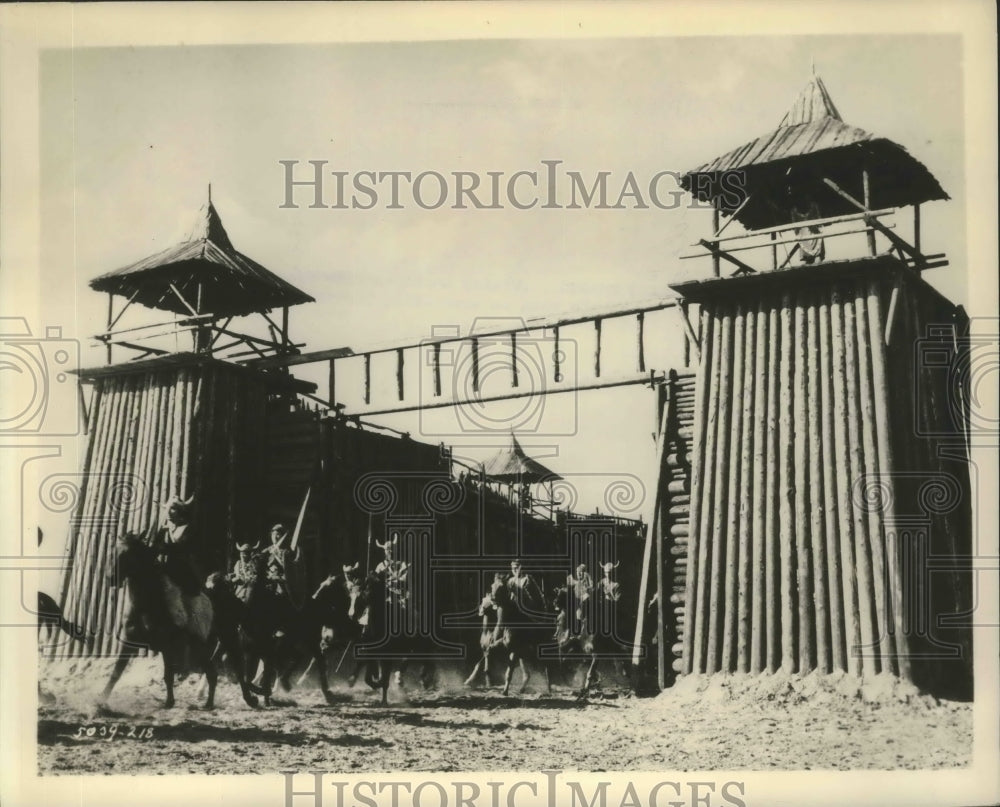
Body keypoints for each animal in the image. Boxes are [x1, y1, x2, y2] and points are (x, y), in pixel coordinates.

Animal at [99, 532, 258, 712]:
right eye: (113, 551)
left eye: (128, 554)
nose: (111, 578)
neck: (147, 605)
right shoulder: (129, 642)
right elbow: (116, 673)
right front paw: (101, 702)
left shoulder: (167, 647)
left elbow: (168, 675)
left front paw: (169, 702)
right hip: (202, 646)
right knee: (212, 672)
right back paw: (208, 704)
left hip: (228, 637)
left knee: (238, 668)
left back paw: (249, 700)